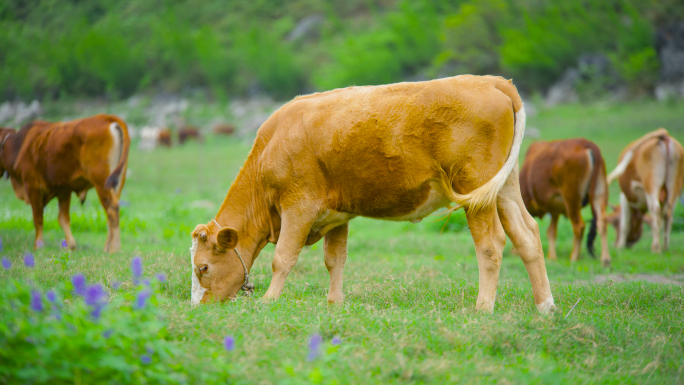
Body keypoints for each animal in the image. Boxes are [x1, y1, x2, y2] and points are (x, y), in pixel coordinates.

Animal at [0, 113, 130, 252]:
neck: (18, 145)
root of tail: (106, 117)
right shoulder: (63, 190)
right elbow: (63, 218)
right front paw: (70, 245)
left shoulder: (32, 187)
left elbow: (38, 218)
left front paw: (38, 245)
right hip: (117, 184)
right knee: (111, 212)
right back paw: (107, 248)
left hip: (101, 184)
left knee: (112, 209)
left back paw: (114, 248)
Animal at [187, 74, 556, 312]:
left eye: (203, 267)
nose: (198, 307)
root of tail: (493, 81)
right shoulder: (337, 213)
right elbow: (334, 259)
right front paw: (334, 304)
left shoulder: (298, 205)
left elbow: (283, 258)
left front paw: (269, 301)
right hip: (505, 187)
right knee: (527, 234)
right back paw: (545, 306)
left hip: (475, 187)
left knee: (491, 244)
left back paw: (483, 308)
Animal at [520, 138, 612, 268]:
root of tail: (586, 143)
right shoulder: (554, 210)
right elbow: (551, 232)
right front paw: (552, 256)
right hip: (599, 193)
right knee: (602, 223)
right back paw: (605, 259)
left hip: (571, 198)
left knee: (579, 226)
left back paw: (574, 257)